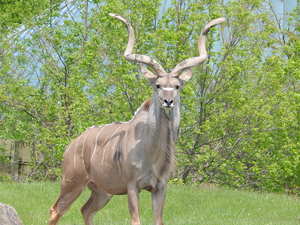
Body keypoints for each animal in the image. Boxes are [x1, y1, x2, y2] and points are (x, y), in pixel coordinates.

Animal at [49, 13, 224, 225]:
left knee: (86, 210)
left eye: (177, 86)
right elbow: (136, 220)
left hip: (103, 192)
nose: (168, 101)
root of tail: (71, 145)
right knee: (56, 210)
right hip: (72, 182)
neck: (153, 153)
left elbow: (158, 220)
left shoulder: (160, 187)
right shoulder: (133, 186)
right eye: (157, 85)